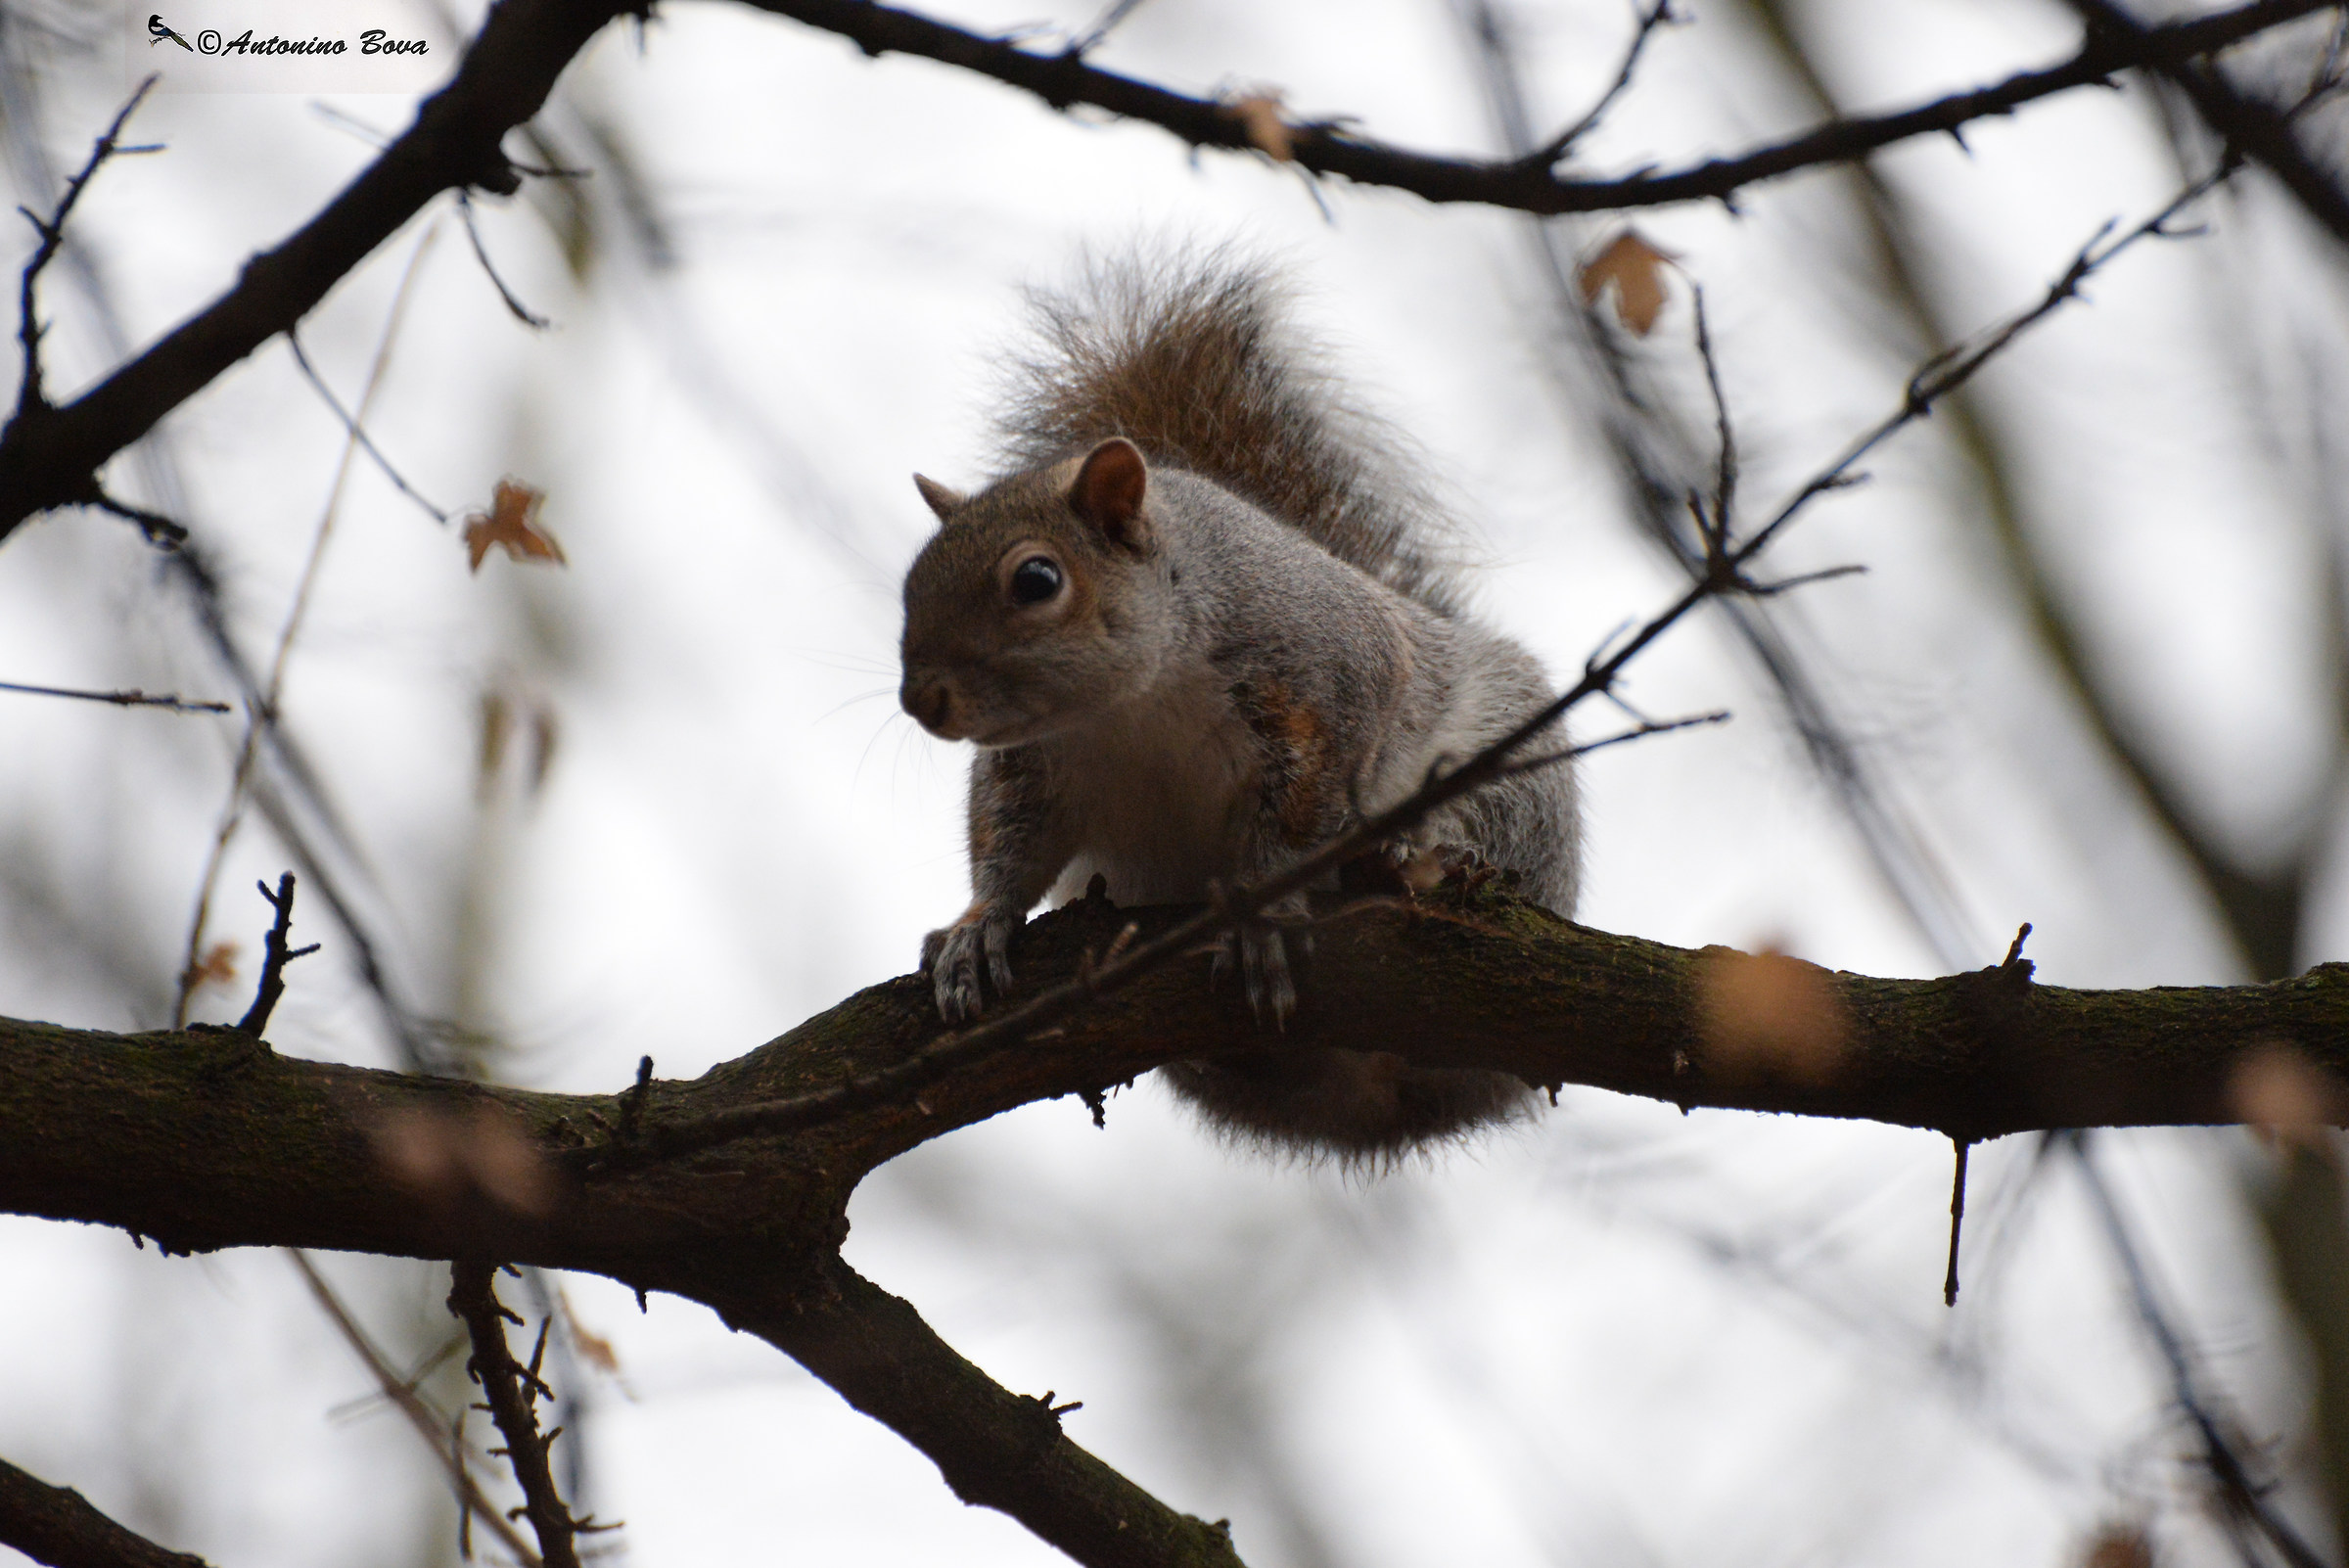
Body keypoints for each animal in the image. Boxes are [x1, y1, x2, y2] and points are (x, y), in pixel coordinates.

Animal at [897, 249, 1581, 1162]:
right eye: (910, 580)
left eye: (1036, 579)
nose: (919, 698)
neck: (1130, 709)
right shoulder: (1029, 768)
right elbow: (1009, 846)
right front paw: (977, 927)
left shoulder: (1327, 685)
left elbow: (1300, 814)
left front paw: (1264, 914)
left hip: (1515, 776)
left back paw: (1409, 858)